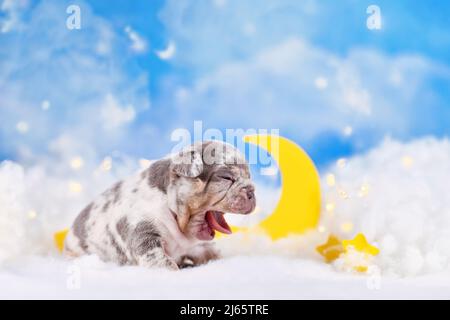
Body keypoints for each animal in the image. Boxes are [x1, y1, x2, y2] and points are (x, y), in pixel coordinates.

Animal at [62, 141, 256, 268]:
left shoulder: (196, 246)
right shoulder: (145, 235)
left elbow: (212, 252)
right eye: (226, 177)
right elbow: (162, 262)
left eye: (249, 176)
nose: (251, 191)